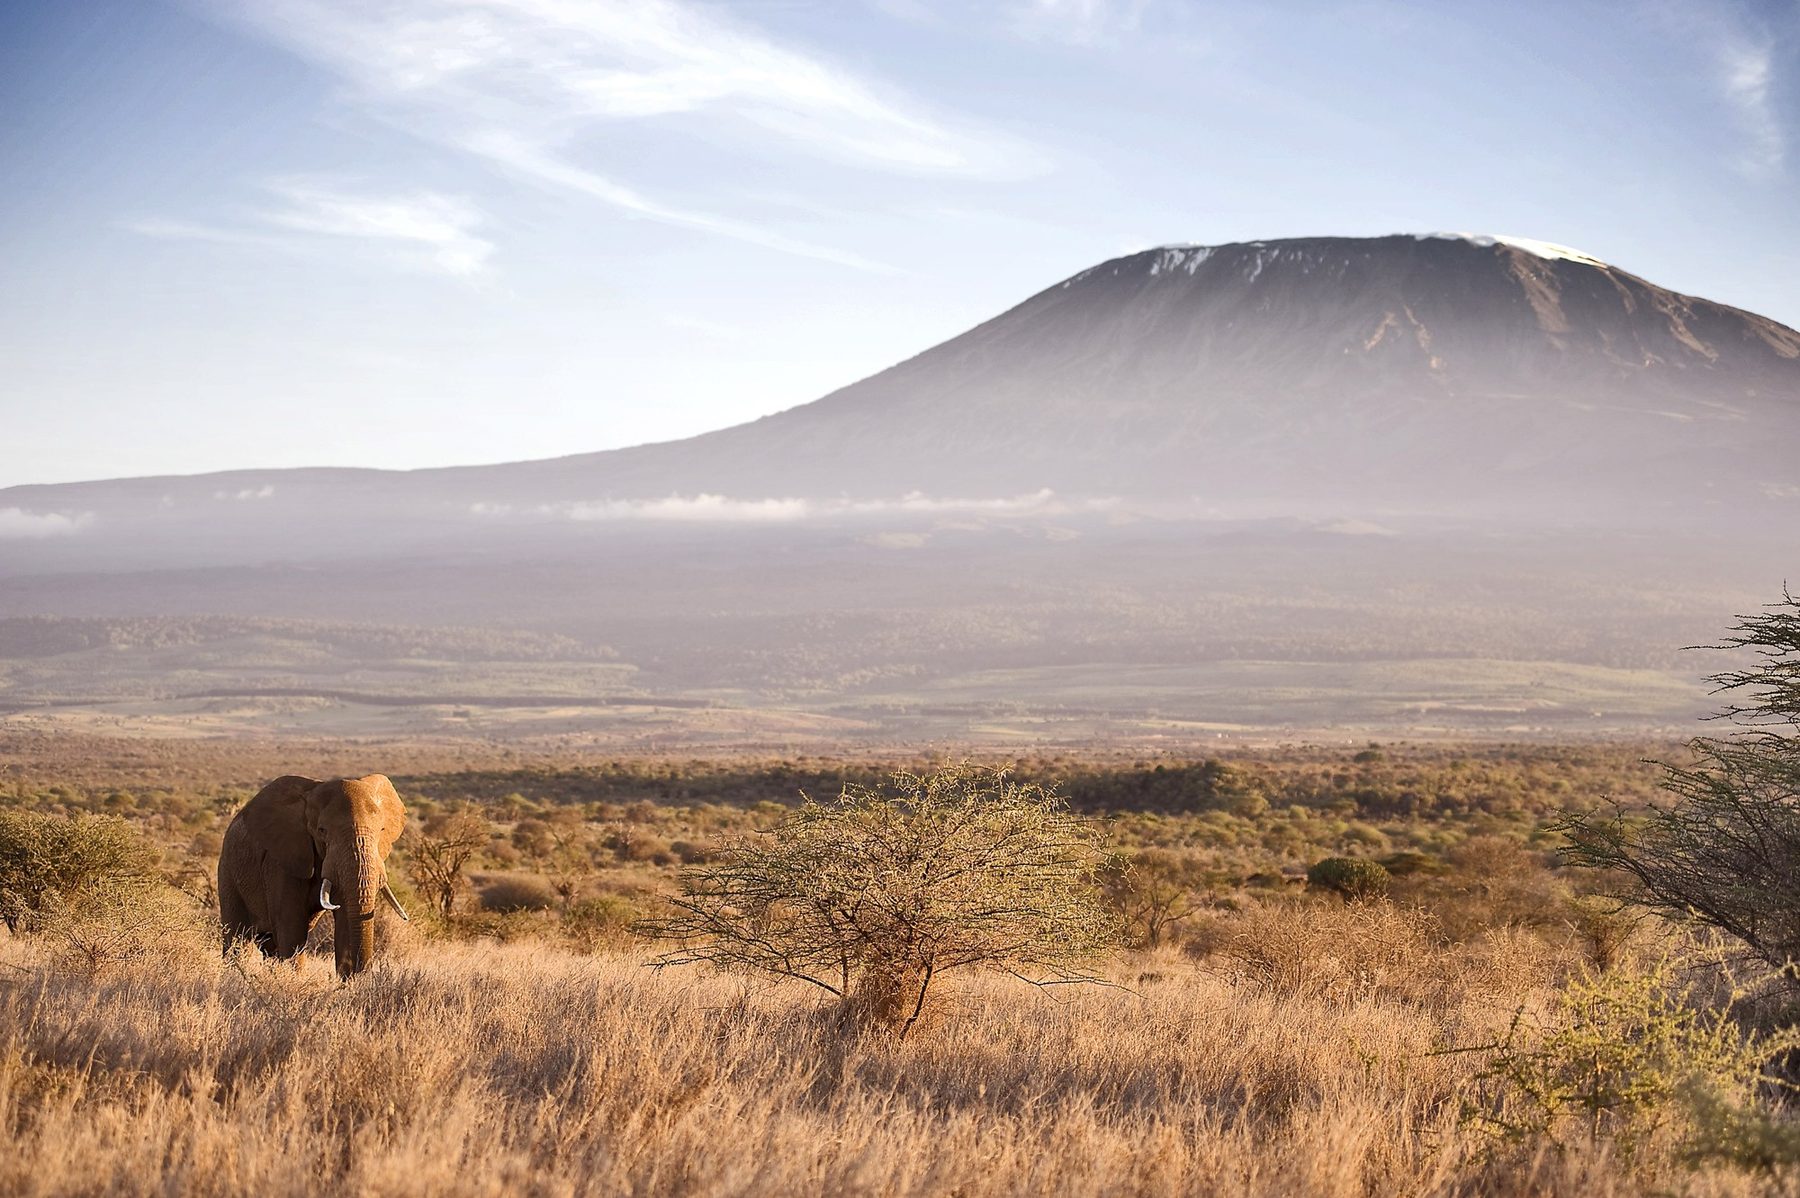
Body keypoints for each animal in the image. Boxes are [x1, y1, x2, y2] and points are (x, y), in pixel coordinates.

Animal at [218, 774, 409, 978]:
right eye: (322, 831)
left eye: (382, 830)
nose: (364, 977)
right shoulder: (282, 861)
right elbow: (291, 927)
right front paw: (294, 980)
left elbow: (345, 921)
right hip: (228, 872)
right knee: (238, 938)